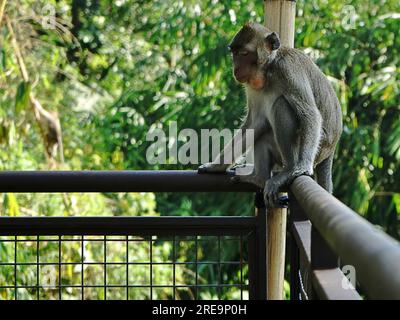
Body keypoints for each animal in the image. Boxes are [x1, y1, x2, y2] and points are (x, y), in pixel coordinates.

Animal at [197, 22, 340, 208]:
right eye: (234, 53)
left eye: (244, 54)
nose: (236, 68)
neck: (269, 69)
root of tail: (331, 149)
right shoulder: (252, 86)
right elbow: (254, 123)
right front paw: (217, 166)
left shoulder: (288, 70)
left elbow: (310, 114)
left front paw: (302, 167)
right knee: (262, 134)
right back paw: (258, 178)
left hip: (317, 148)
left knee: (281, 106)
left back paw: (288, 170)